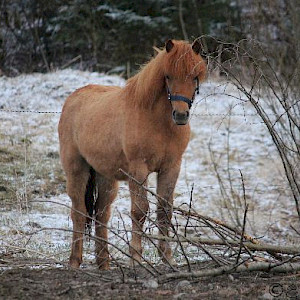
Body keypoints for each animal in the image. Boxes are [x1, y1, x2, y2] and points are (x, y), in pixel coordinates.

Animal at [59, 38, 207, 268]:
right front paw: (136, 258)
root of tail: (73, 98)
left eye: (194, 77)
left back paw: (104, 263)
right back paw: (75, 261)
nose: (181, 115)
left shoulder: (171, 168)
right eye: (168, 76)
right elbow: (140, 210)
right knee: (79, 212)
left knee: (101, 214)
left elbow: (164, 210)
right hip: (76, 170)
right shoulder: (138, 169)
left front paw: (168, 258)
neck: (158, 122)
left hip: (106, 177)